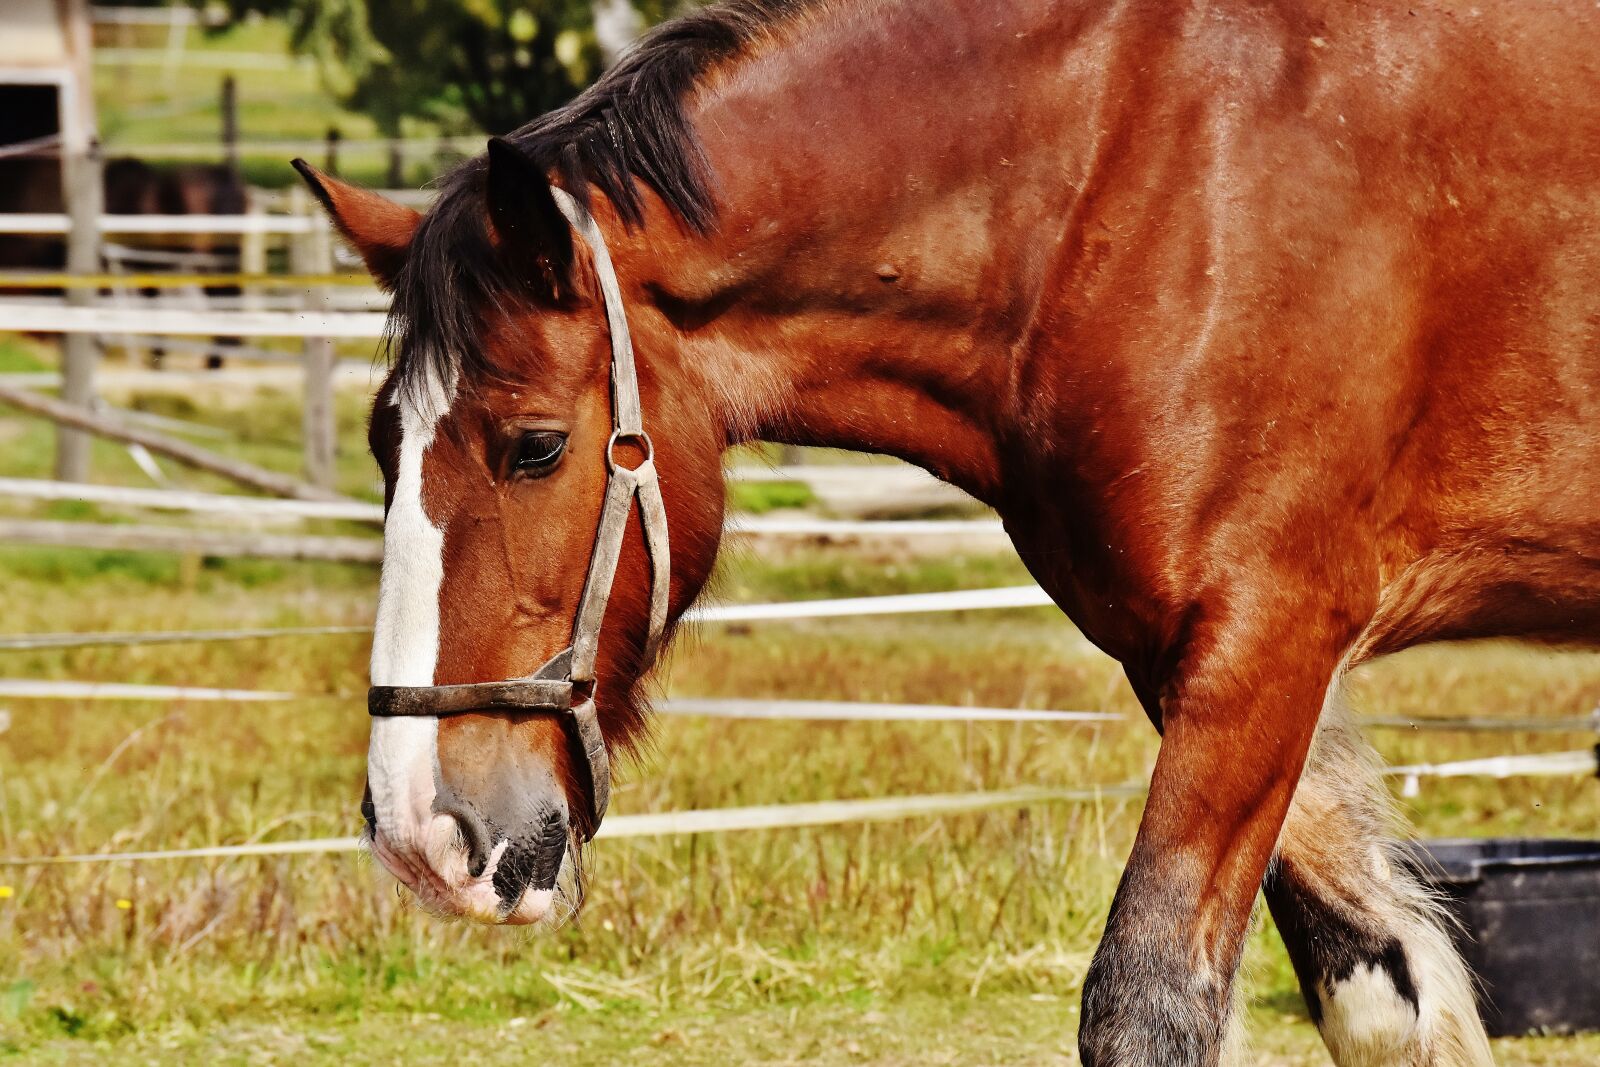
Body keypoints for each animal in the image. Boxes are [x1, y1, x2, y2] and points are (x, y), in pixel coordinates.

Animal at [294, 0, 1600, 1063]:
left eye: (532, 446)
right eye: (383, 443)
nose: (420, 828)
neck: (1138, 168)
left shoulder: (1263, 645)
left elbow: (1146, 1003)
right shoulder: (1212, 664)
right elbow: (1388, 1000)